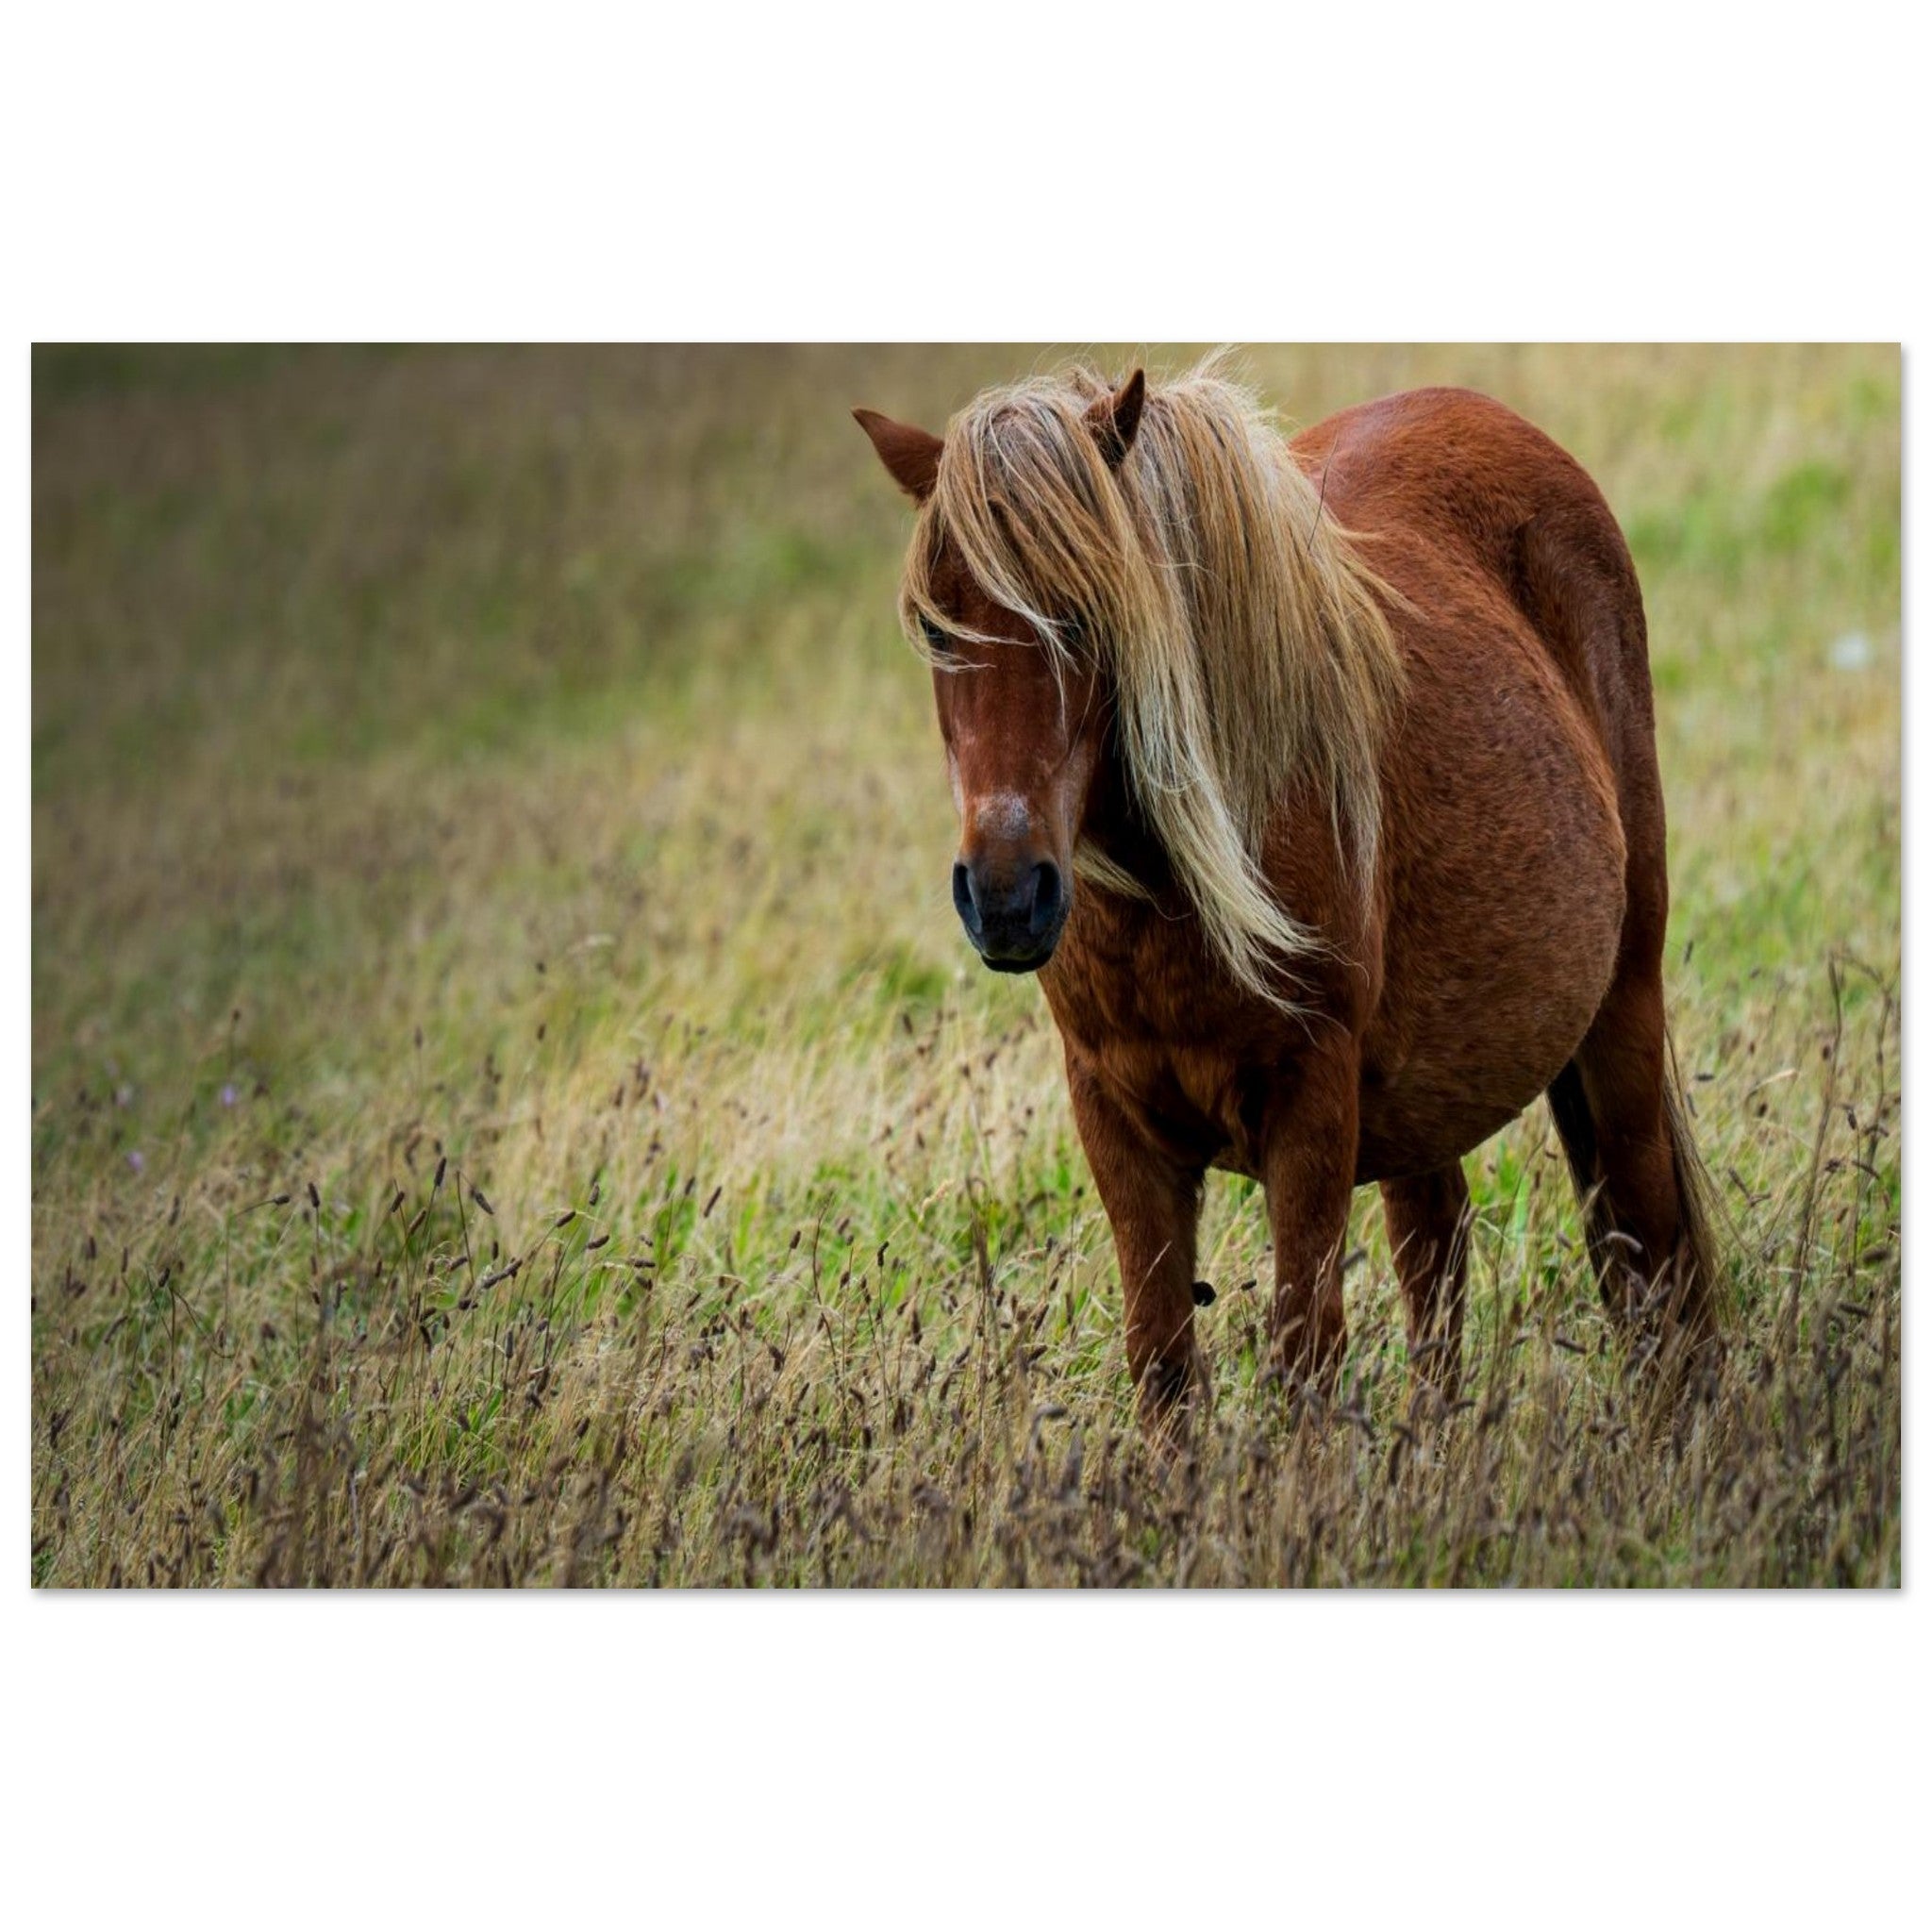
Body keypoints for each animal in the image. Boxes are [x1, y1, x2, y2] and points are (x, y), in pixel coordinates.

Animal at [854, 358, 1718, 1437]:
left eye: (1087, 614)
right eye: (938, 628)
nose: (1007, 896)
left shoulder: (1310, 1106)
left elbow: (1305, 1355)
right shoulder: (1114, 1119)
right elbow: (1164, 1364)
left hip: (1619, 1010)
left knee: (1649, 1244)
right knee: (1437, 1260)